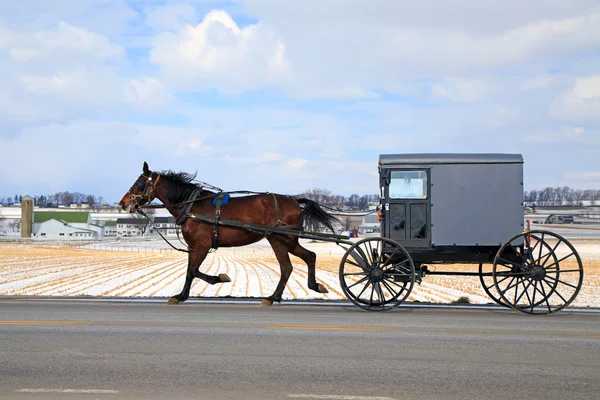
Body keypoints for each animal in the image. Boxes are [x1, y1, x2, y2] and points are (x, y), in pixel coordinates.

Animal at [118, 161, 342, 304]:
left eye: (140, 182)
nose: (123, 203)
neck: (193, 206)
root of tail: (294, 200)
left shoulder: (202, 245)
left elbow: (194, 271)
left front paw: (219, 278)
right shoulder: (193, 246)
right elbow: (190, 271)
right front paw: (182, 295)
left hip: (284, 238)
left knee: (304, 258)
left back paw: (292, 292)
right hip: (278, 239)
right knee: (291, 265)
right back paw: (277, 296)